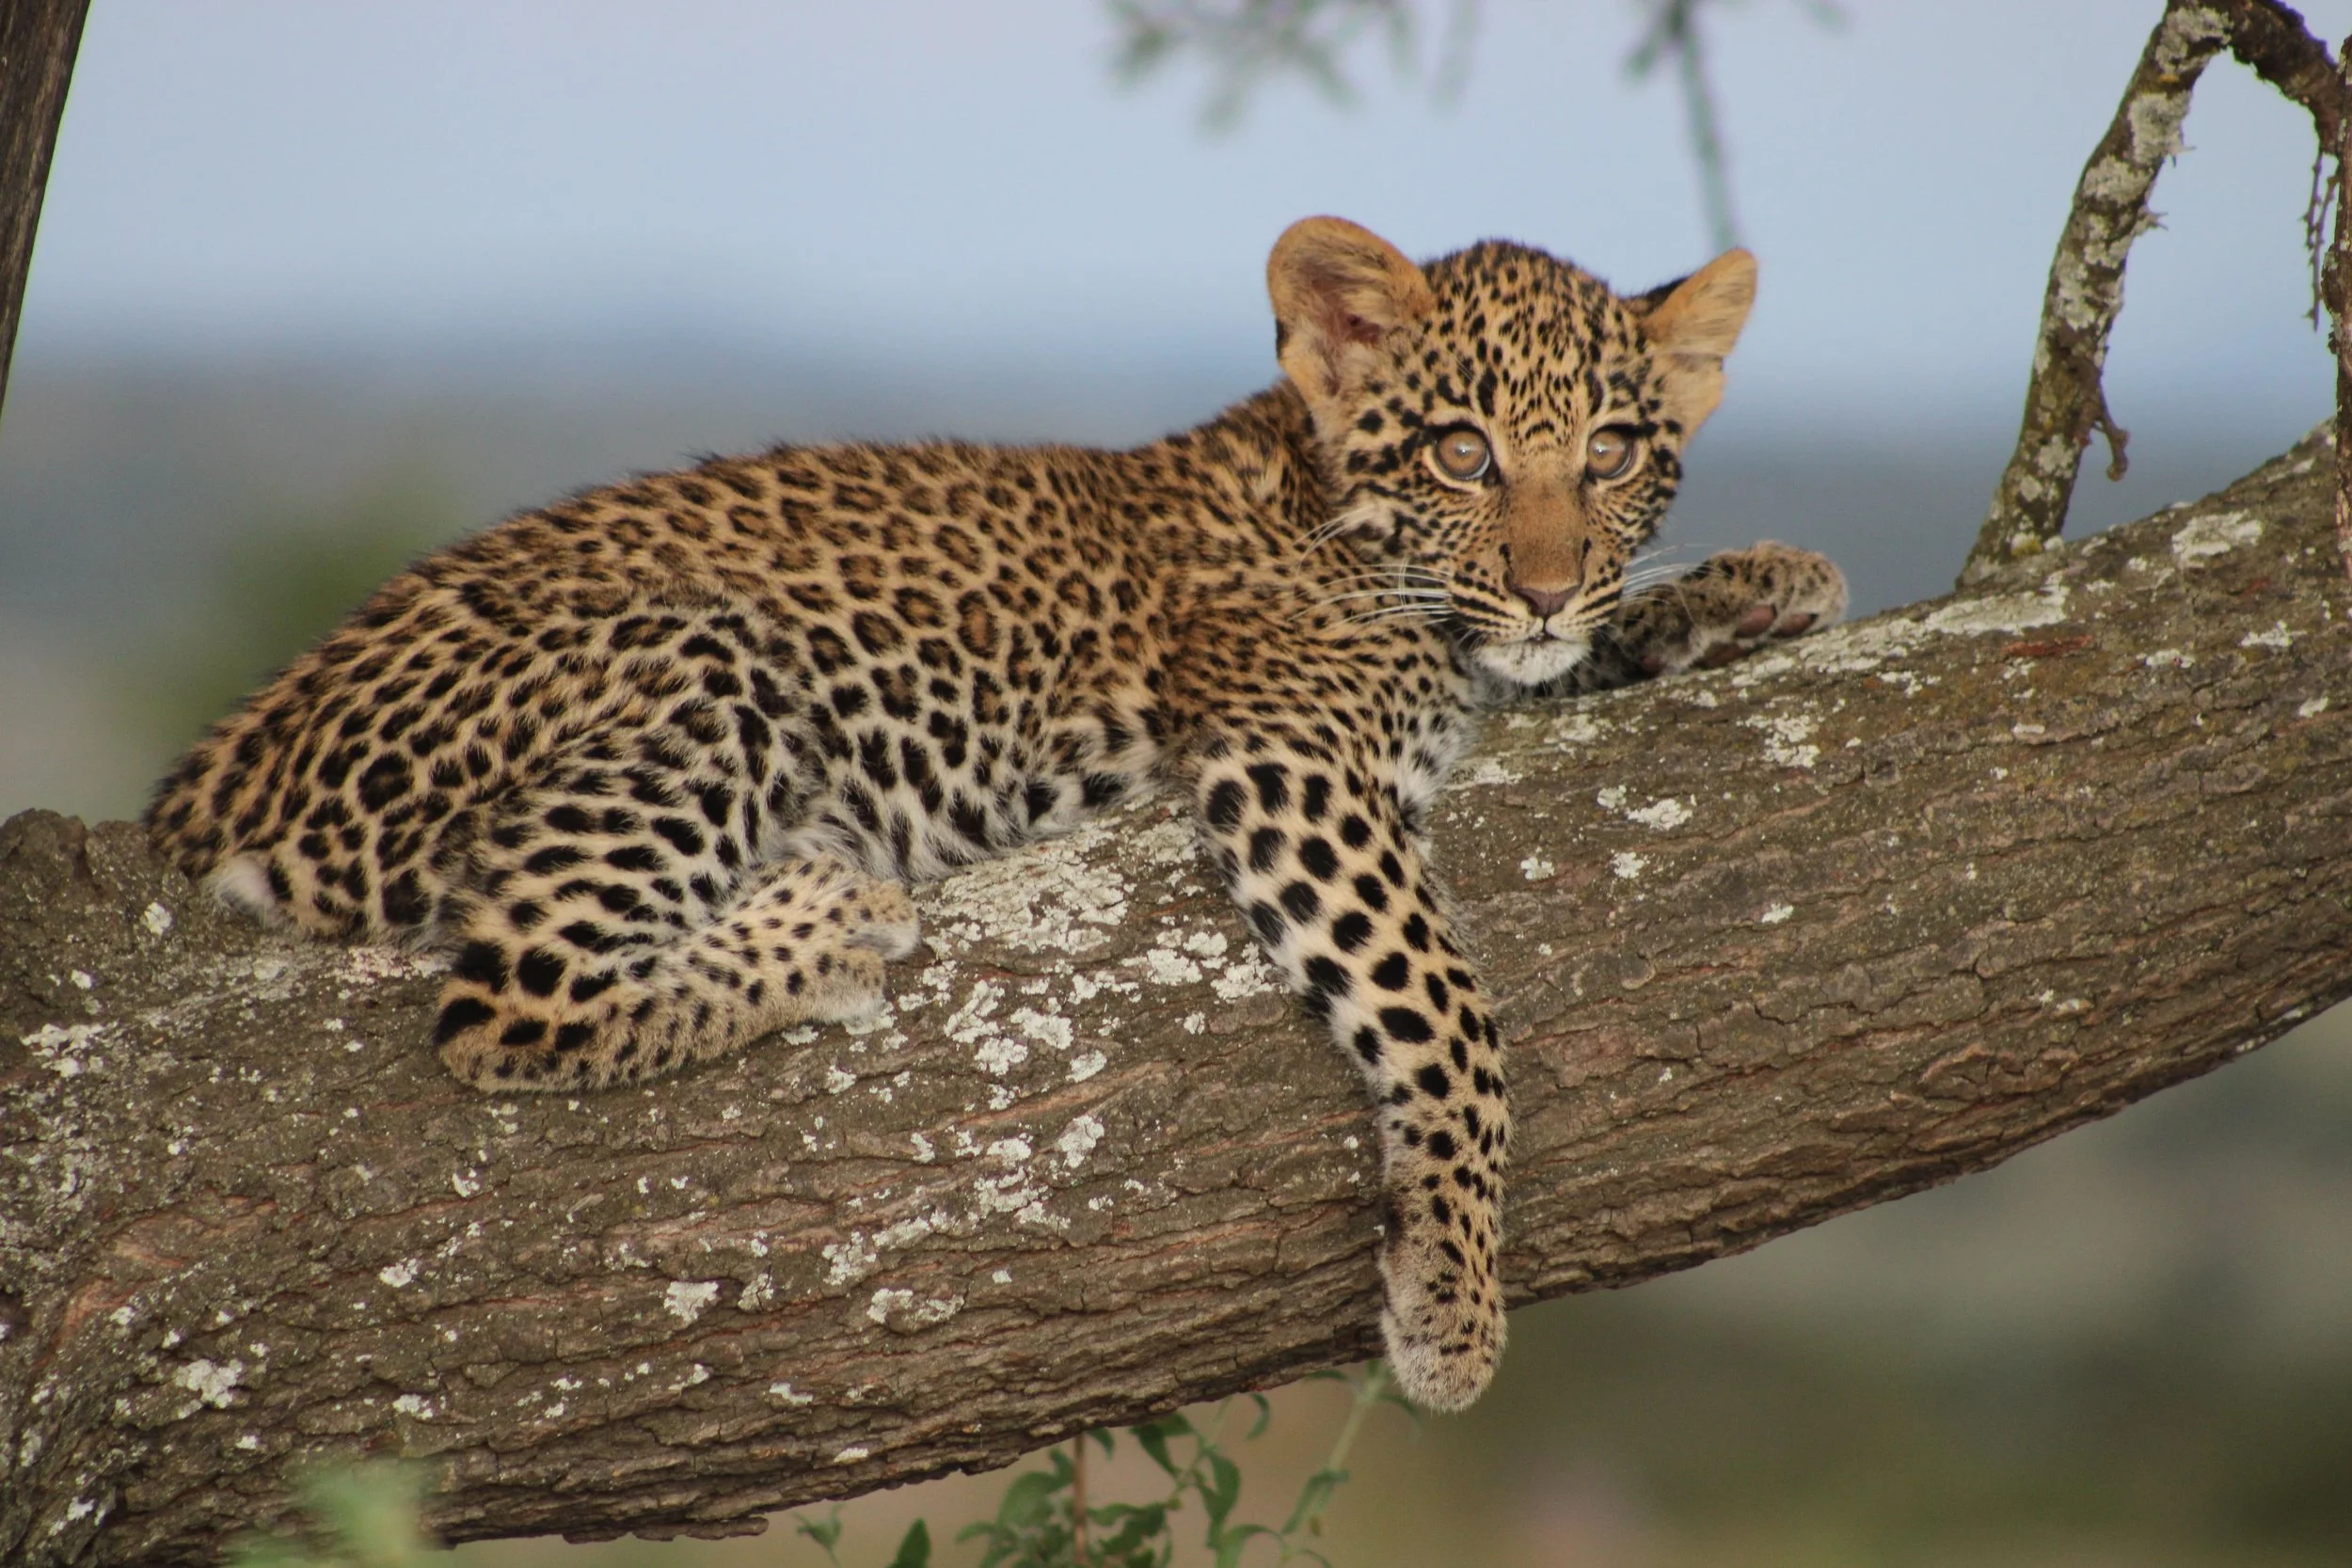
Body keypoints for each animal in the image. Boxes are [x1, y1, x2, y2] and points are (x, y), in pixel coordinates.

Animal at [146, 217, 1847, 1412]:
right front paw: (1452, 1297)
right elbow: (1448, 1017)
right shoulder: (1293, 762)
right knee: (507, 995)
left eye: (1610, 451)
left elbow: (1565, 663)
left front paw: (1754, 584)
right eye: (1461, 451)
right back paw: (829, 909)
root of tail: (202, 784)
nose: (1552, 583)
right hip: (698, 657)